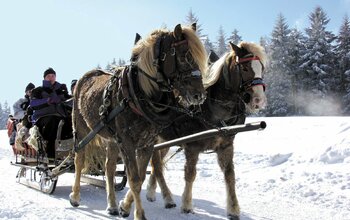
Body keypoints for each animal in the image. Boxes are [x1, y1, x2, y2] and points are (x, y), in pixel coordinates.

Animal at [69, 24, 209, 220]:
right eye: (184, 56)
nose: (199, 95)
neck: (139, 93)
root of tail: (86, 76)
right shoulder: (127, 143)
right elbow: (134, 179)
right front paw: (139, 214)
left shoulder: (147, 143)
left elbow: (141, 176)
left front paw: (124, 207)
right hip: (81, 129)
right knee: (79, 160)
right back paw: (75, 196)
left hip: (112, 139)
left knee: (109, 168)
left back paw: (112, 205)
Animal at [146, 41, 266, 220]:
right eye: (244, 68)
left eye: (262, 68)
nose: (259, 100)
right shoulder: (192, 146)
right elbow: (190, 174)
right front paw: (187, 205)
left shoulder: (226, 146)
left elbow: (230, 175)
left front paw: (233, 209)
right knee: (157, 166)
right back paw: (167, 198)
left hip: (165, 141)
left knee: (156, 165)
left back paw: (151, 193)